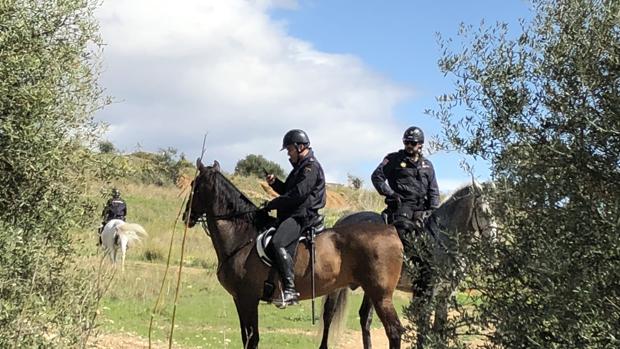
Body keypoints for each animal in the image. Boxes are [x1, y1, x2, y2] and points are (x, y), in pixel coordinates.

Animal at [183, 160, 406, 348]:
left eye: (194, 185)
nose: (187, 216)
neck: (242, 236)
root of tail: (391, 231)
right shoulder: (239, 299)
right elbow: (246, 337)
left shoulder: (248, 298)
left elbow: (252, 339)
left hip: (381, 296)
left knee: (394, 331)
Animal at [322, 182, 496, 348]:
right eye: (483, 211)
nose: (493, 241)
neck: (440, 240)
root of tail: (341, 221)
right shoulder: (426, 293)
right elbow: (423, 329)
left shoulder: (445, 294)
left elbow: (439, 330)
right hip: (337, 287)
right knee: (329, 313)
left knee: (365, 316)